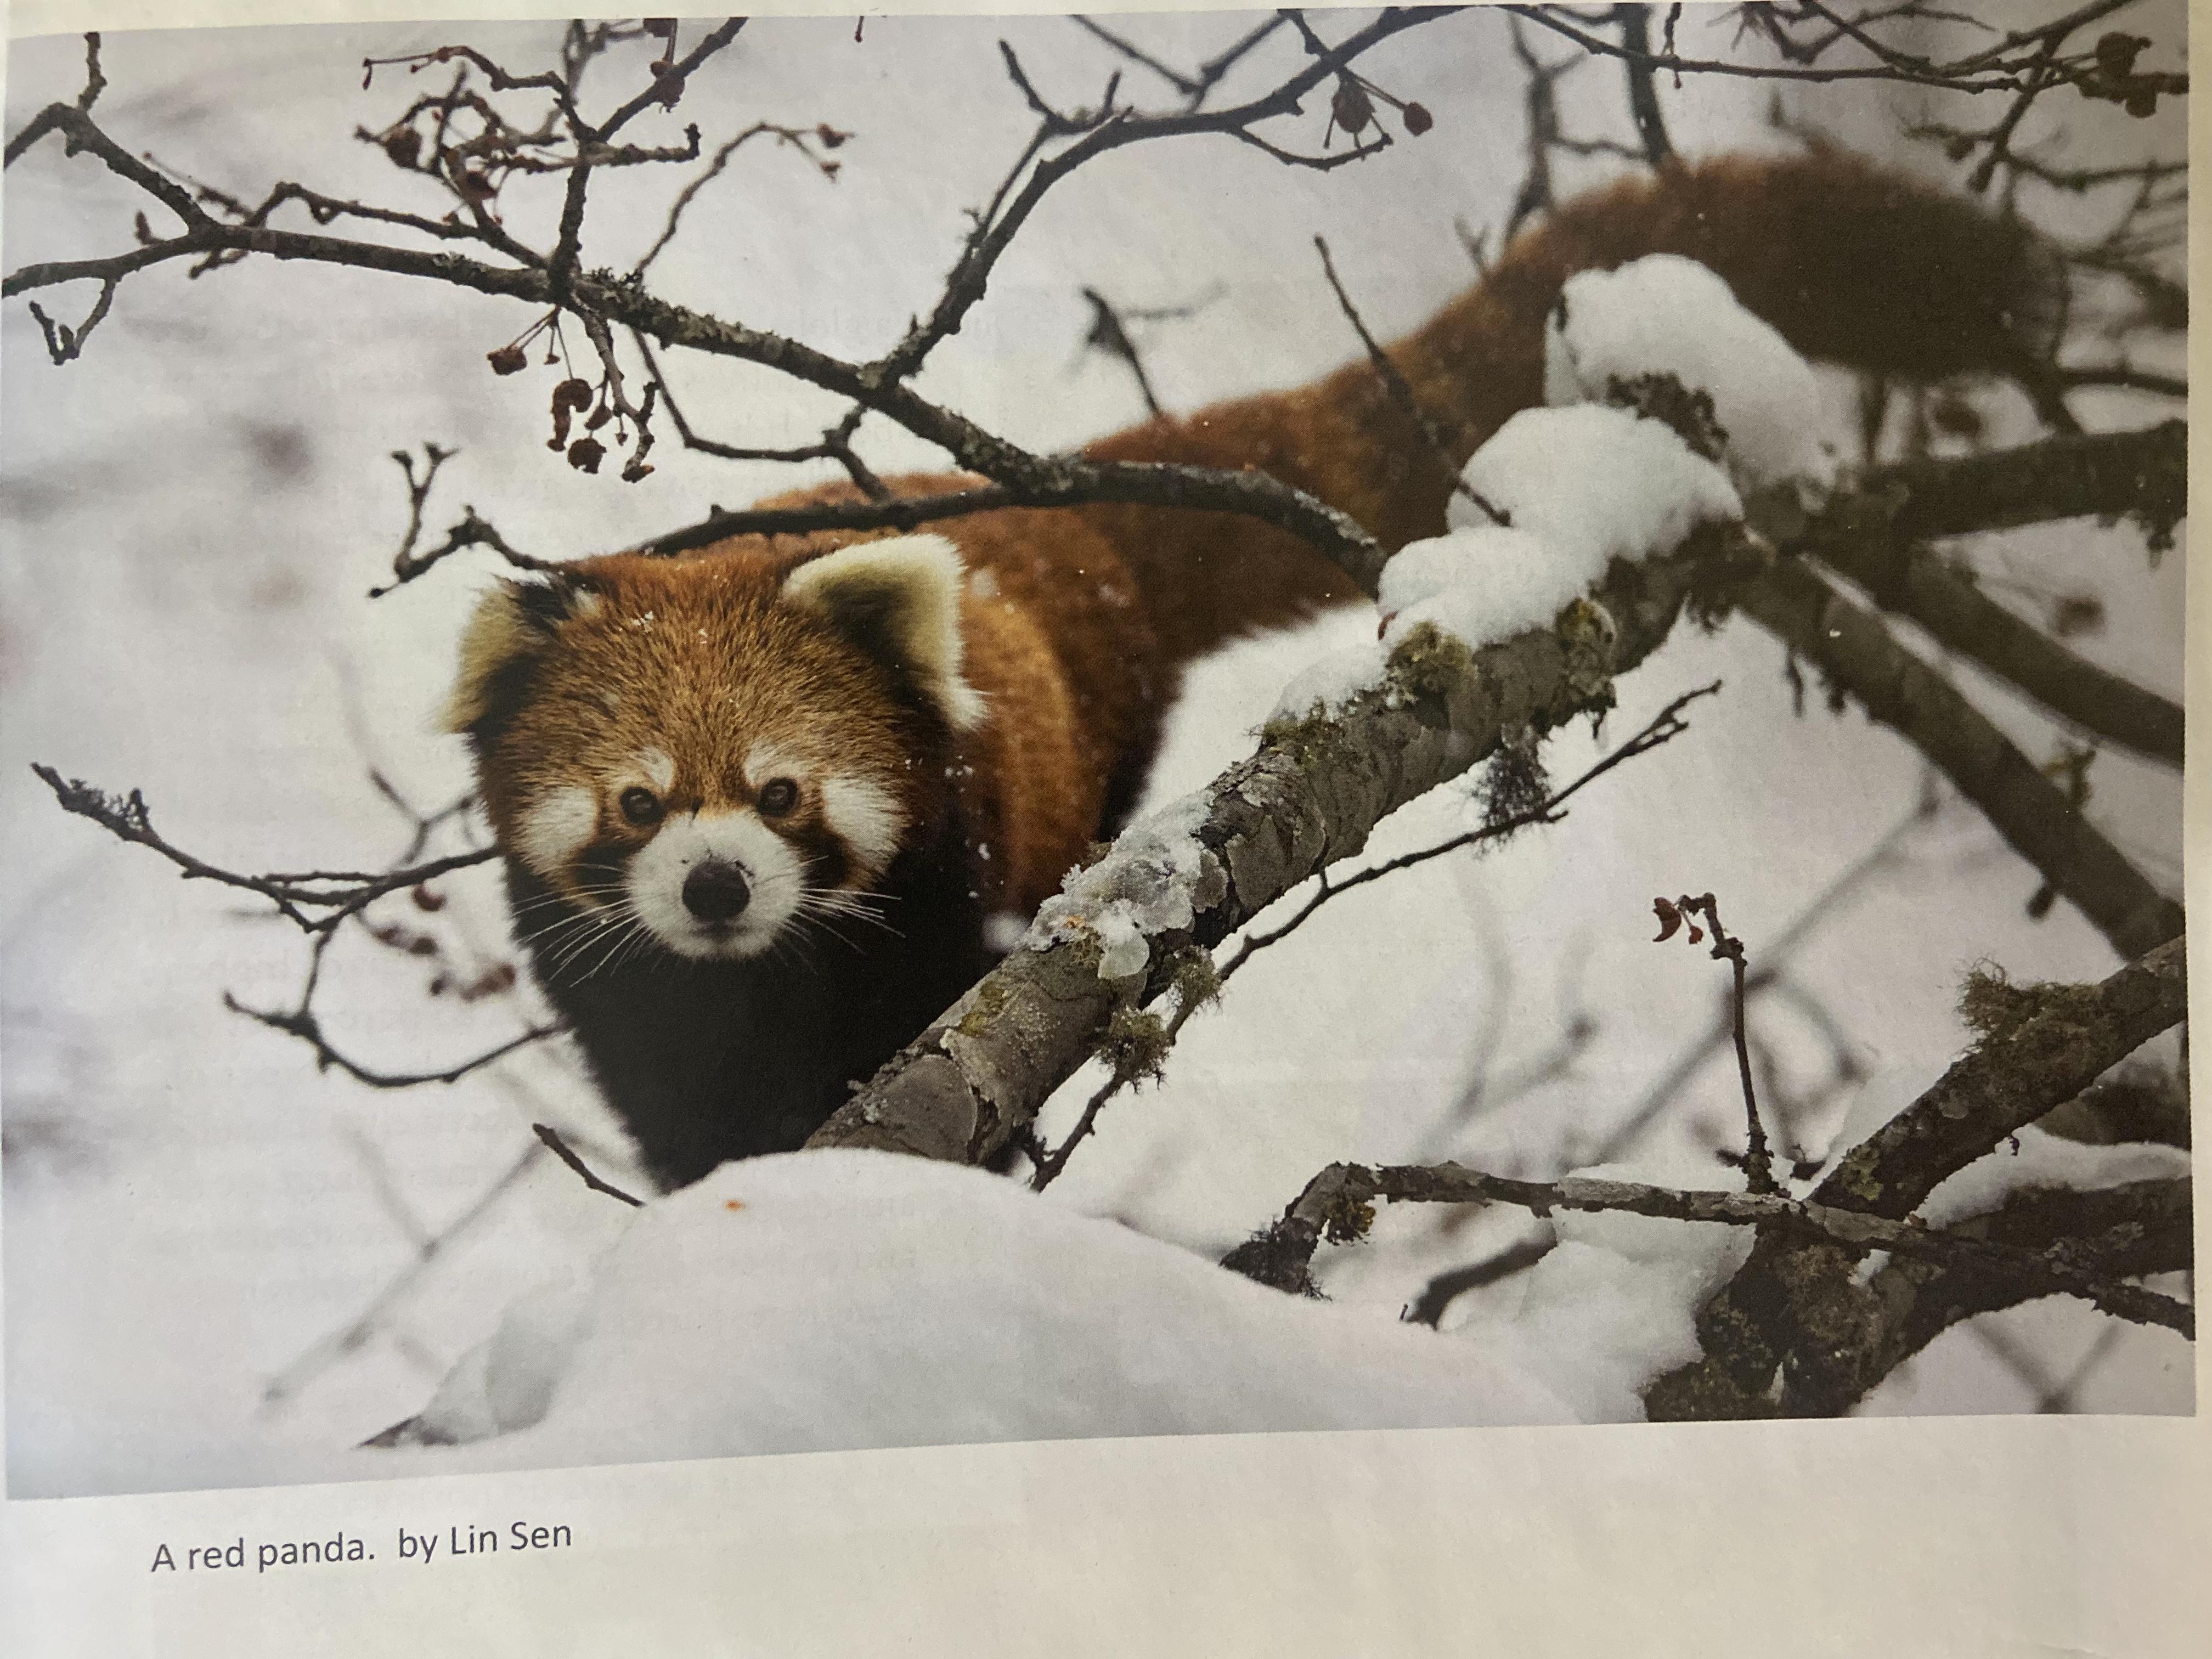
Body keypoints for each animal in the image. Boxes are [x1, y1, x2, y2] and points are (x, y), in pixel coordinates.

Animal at [449, 149, 2052, 1186]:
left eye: (783, 796)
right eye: (640, 805)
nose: (720, 887)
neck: (753, 980)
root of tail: (1055, 519)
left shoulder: (936, 881)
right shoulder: (623, 996)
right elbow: (675, 1104)